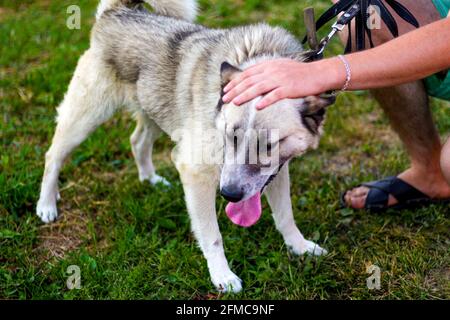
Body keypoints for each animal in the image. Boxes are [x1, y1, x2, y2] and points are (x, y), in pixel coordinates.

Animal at [37, 0, 334, 292]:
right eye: (230, 136)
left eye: (269, 144)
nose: (229, 194)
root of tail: (118, 11)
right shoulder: (196, 173)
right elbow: (213, 236)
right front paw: (222, 276)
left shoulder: (276, 173)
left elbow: (285, 216)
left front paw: (300, 247)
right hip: (86, 118)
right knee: (53, 155)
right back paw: (47, 204)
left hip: (156, 112)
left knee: (137, 141)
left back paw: (150, 180)